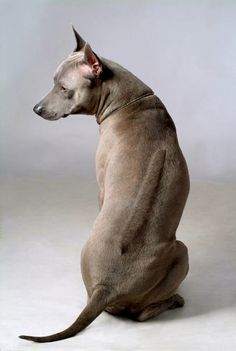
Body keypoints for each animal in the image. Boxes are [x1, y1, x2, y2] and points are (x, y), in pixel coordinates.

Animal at [19, 27, 190, 344]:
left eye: (64, 88)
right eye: (53, 82)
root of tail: (106, 288)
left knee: (141, 314)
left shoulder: (101, 186)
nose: (35, 109)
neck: (130, 101)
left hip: (182, 250)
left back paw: (174, 300)